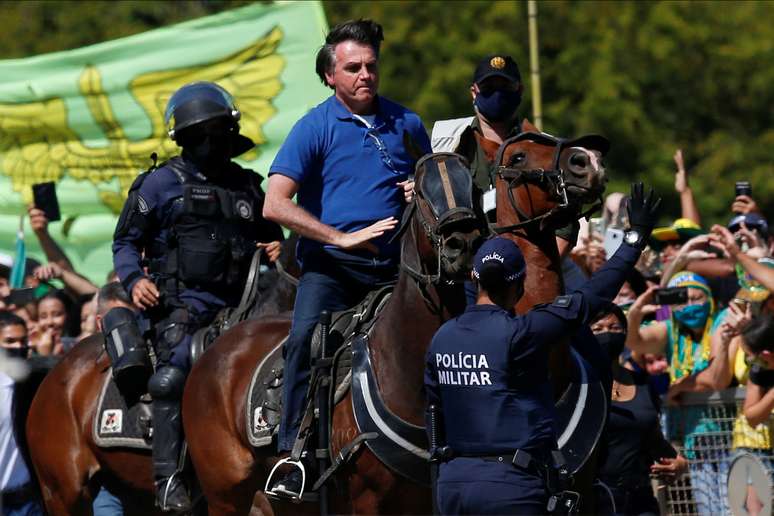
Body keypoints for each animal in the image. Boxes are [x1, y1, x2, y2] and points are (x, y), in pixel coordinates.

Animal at [183, 154, 484, 516]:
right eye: (423, 194)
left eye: (473, 187)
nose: (462, 244)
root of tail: (213, 350)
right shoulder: (366, 499)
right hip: (224, 496)